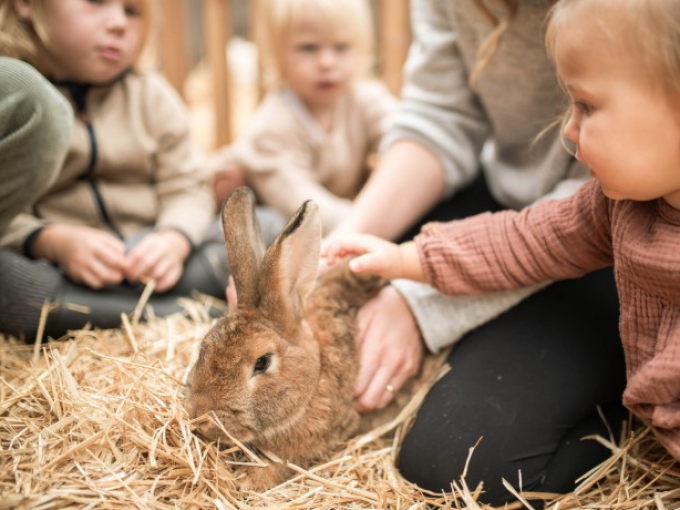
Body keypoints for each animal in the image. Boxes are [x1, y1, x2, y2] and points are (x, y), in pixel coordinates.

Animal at [185, 187, 440, 490]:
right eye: (205, 346)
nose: (198, 415)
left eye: (262, 362)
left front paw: (248, 482)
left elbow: (278, 466)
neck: (315, 375)